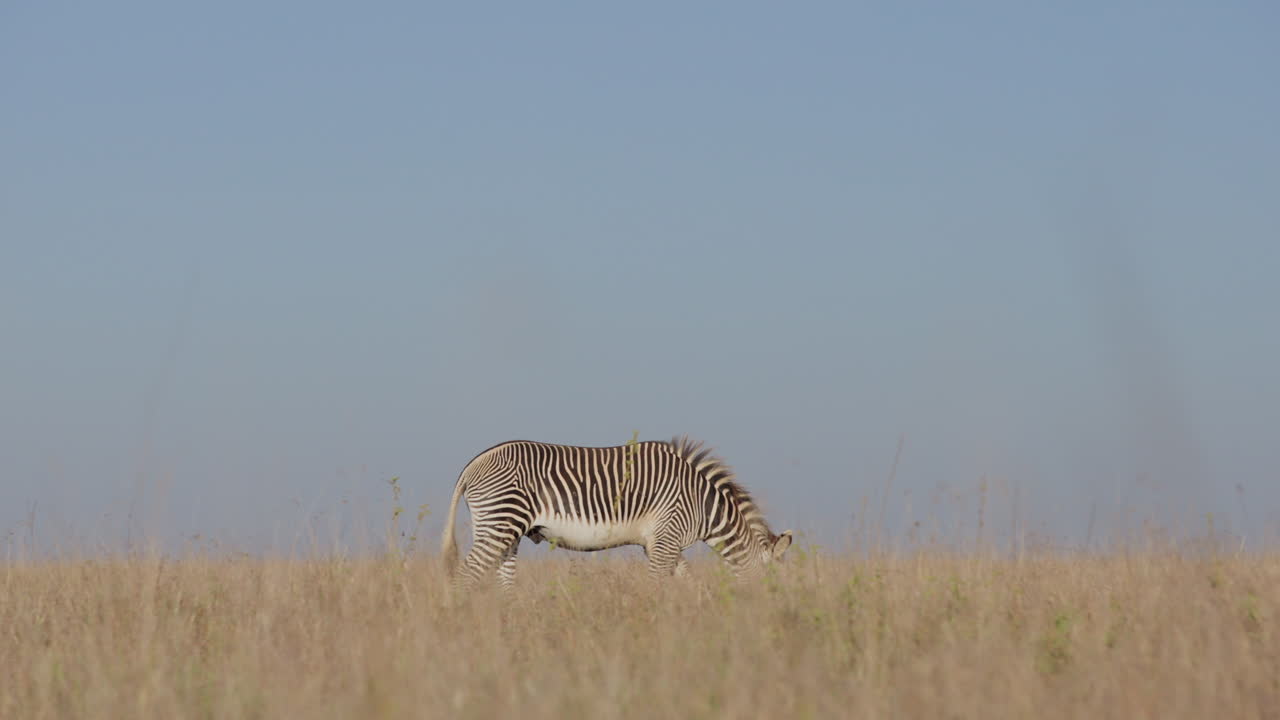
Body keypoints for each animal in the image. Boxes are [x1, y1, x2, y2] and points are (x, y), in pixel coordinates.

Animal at [440, 435, 792, 592]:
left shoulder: (663, 543)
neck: (702, 503)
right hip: (500, 522)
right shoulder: (666, 539)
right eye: (773, 586)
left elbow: (686, 582)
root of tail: (474, 464)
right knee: (465, 576)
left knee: (503, 581)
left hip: (505, 532)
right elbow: (655, 586)